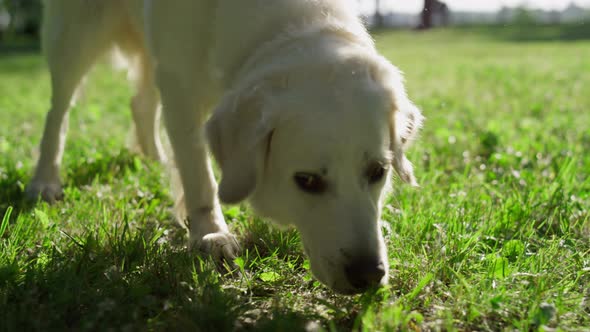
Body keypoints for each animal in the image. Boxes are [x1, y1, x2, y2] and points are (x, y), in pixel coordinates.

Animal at [26, 0, 426, 294]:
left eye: (378, 172)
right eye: (308, 181)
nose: (369, 276)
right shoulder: (179, 84)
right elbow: (197, 172)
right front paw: (209, 233)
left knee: (141, 102)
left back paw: (153, 159)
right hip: (75, 36)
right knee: (57, 112)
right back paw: (44, 180)